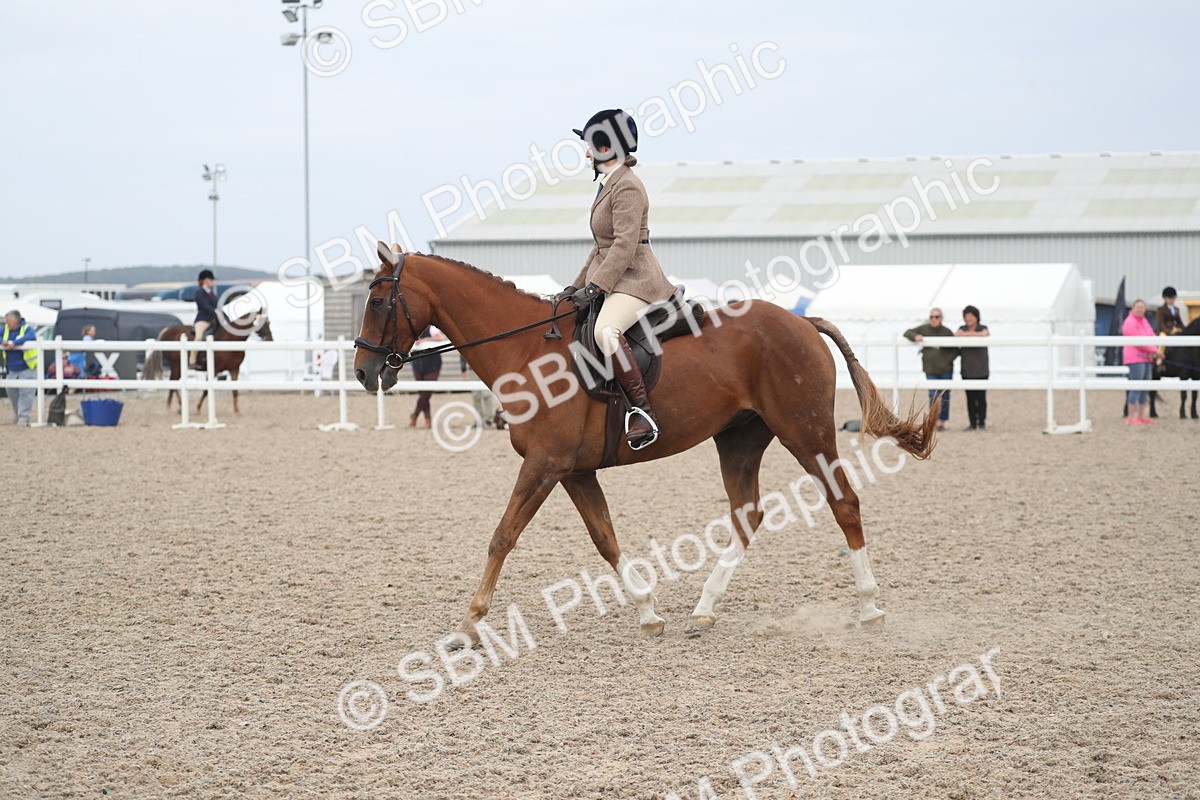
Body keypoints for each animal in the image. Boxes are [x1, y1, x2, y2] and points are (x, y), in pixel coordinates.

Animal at [143, 314, 272, 414]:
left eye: (269, 322)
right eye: (260, 323)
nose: (270, 339)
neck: (230, 339)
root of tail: (167, 330)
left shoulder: (235, 369)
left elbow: (235, 390)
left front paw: (237, 411)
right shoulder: (214, 369)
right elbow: (206, 391)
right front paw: (198, 408)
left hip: (179, 366)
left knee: (175, 382)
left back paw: (179, 407)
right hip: (175, 364)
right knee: (173, 382)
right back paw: (172, 407)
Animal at [354, 243, 938, 646]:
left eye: (379, 300)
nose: (362, 372)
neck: (526, 349)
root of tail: (801, 320)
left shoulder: (544, 465)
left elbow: (502, 537)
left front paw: (469, 624)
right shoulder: (573, 471)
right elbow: (604, 538)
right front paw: (648, 611)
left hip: (806, 432)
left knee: (844, 502)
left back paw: (869, 607)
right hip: (740, 440)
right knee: (747, 514)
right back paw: (704, 608)